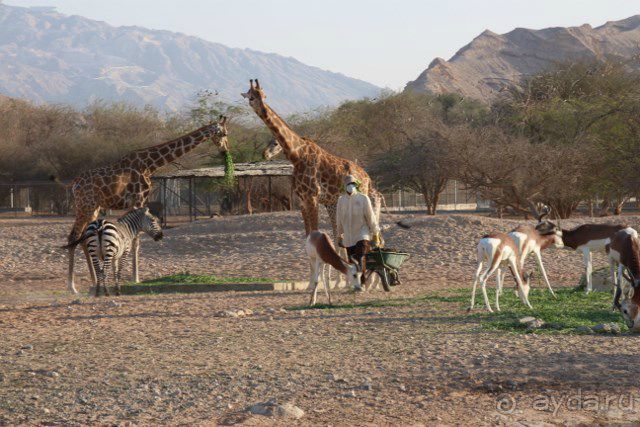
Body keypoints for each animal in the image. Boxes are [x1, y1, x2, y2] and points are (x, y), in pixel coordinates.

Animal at [62, 116, 230, 294]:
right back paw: (72, 287)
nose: (225, 151)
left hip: (93, 208)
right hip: (85, 206)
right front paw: (135, 278)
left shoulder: (135, 202)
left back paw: (94, 282)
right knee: (73, 237)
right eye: (224, 133)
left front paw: (132, 276)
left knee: (83, 238)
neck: (150, 164)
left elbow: (134, 237)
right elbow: (136, 239)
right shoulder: (138, 199)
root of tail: (74, 184)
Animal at [240, 80, 380, 246]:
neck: (297, 155)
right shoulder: (302, 201)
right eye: (251, 97)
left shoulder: (312, 198)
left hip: (359, 197)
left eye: (264, 96)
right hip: (336, 202)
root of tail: (367, 177)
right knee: (341, 235)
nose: (263, 109)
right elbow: (308, 235)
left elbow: (315, 234)